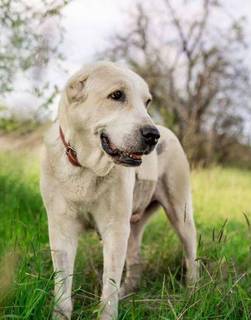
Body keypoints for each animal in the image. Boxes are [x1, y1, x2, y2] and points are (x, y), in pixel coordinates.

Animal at [40, 61, 198, 318]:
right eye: (116, 95)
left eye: (147, 102)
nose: (152, 135)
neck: (86, 166)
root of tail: (168, 131)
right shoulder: (61, 228)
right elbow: (62, 284)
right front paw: (60, 314)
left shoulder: (115, 229)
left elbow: (109, 286)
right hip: (133, 227)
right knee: (136, 261)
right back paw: (128, 291)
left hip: (180, 215)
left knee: (191, 254)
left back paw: (192, 292)